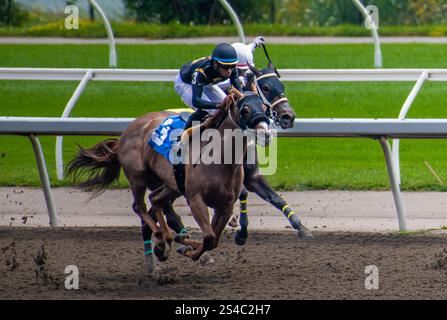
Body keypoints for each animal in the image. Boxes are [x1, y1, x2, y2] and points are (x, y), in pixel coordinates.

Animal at [66, 91, 270, 264]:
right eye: (245, 109)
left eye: (265, 106)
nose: (265, 133)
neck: (220, 159)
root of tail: (128, 131)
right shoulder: (196, 199)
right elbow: (209, 236)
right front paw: (190, 250)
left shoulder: (225, 205)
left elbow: (212, 240)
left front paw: (190, 248)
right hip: (138, 177)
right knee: (139, 206)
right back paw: (161, 239)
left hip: (172, 185)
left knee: (155, 198)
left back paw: (169, 240)